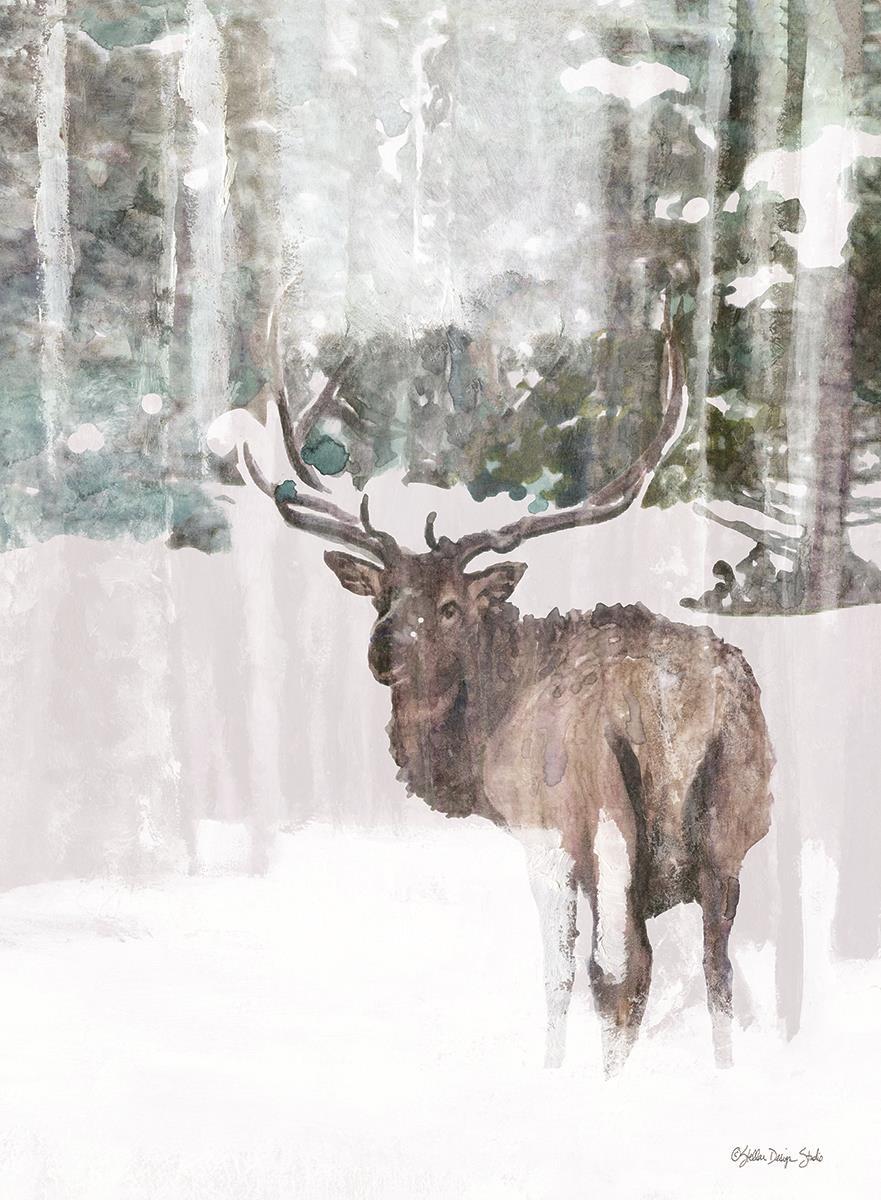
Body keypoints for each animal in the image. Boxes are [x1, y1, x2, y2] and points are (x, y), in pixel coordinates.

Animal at [238, 312, 774, 1074]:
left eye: (451, 606)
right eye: (381, 595)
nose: (382, 650)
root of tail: (677, 704)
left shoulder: (541, 834)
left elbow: (558, 972)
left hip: (599, 822)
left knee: (620, 970)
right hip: (733, 827)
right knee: (715, 971)